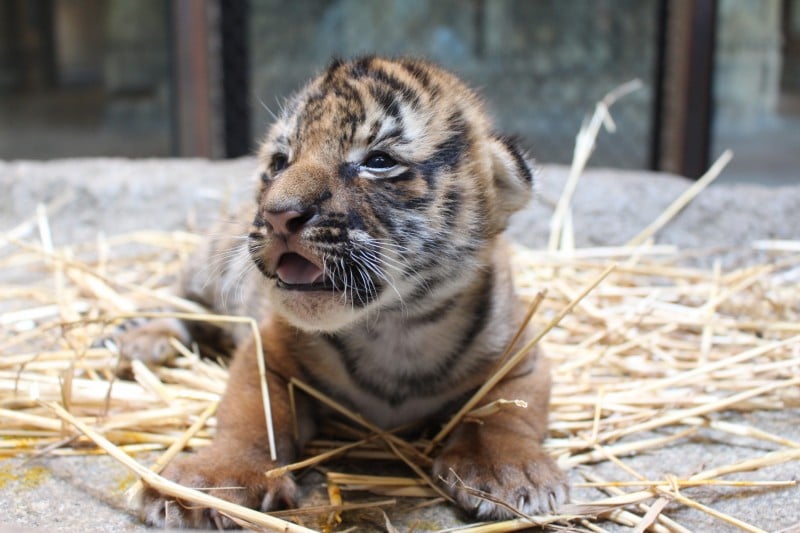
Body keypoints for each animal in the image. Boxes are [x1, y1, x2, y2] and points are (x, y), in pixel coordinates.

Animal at [122, 56, 564, 524]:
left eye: (379, 161)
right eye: (280, 162)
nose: (277, 214)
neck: (397, 328)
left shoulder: (521, 352)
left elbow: (505, 410)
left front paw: (511, 471)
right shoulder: (267, 349)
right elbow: (252, 414)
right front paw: (211, 479)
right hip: (210, 264)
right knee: (180, 299)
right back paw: (141, 339)